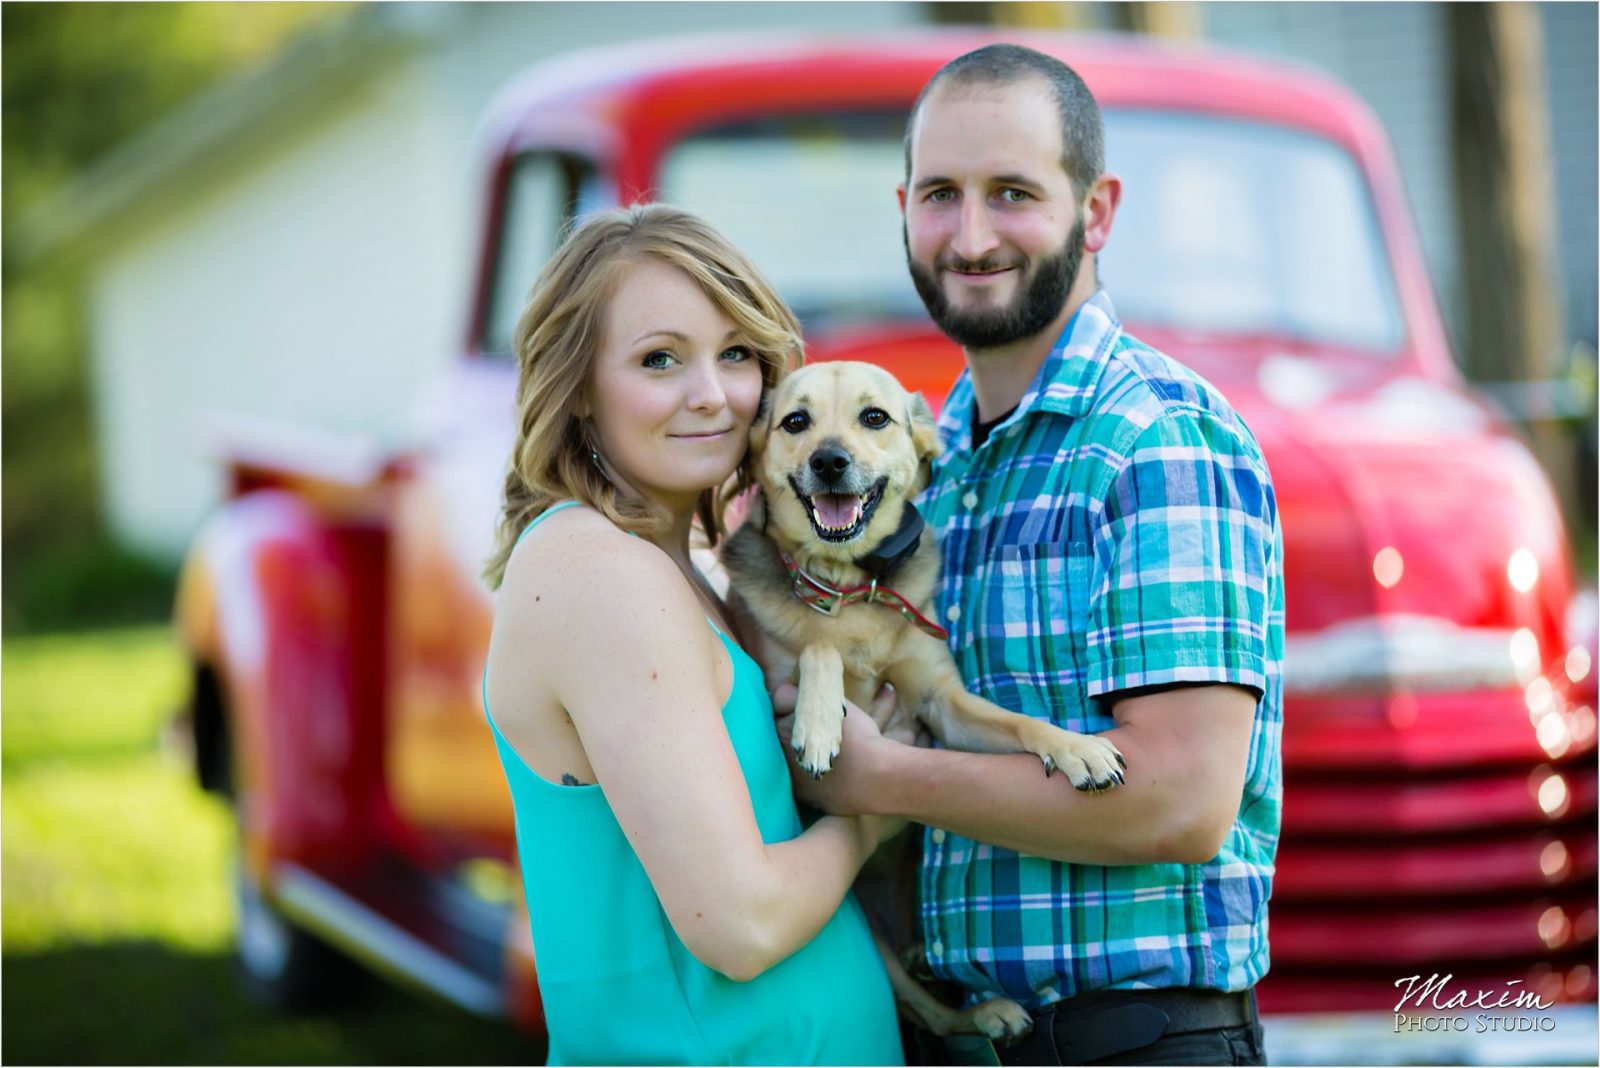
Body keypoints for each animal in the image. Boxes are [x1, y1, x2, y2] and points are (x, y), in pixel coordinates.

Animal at [726, 361, 1126, 1042]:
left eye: (874, 418)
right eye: (796, 421)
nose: (830, 461)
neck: (851, 588)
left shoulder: (942, 705)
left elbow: (1019, 722)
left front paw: (1078, 749)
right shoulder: (787, 672)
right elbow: (817, 647)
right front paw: (819, 724)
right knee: (925, 1009)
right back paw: (980, 1011)